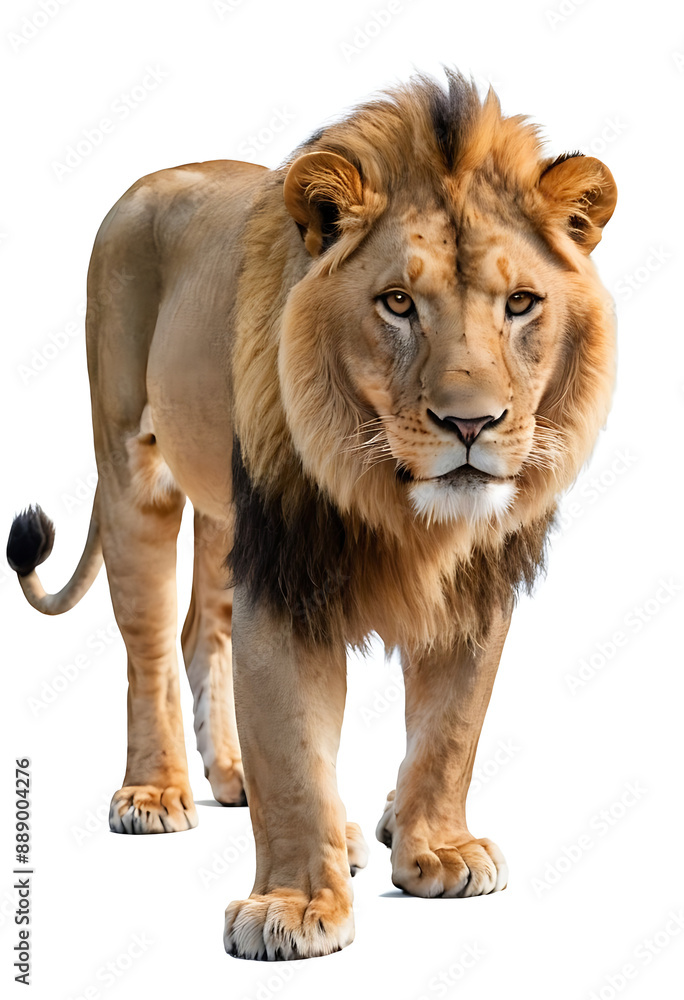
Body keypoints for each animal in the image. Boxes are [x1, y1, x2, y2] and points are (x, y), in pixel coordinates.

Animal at [7, 70, 616, 960]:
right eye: (397, 302)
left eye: (520, 304)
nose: (470, 424)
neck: (404, 509)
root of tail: (153, 179)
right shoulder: (285, 568)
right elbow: (294, 752)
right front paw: (293, 907)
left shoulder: (479, 582)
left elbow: (452, 730)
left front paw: (436, 849)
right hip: (130, 468)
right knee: (148, 646)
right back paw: (154, 795)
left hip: (226, 511)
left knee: (201, 631)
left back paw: (235, 782)